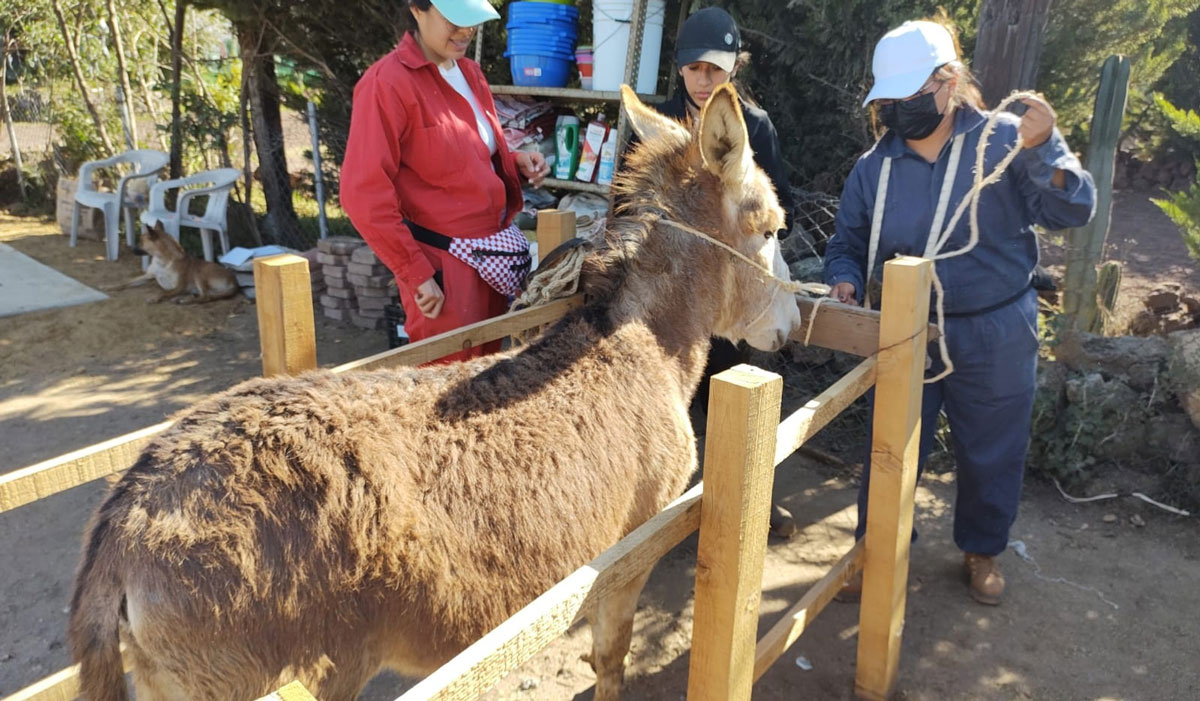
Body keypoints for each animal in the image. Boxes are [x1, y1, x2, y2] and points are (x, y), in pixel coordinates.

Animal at [106, 222, 240, 303]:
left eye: (141, 242)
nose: (130, 248)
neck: (162, 260)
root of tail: (235, 282)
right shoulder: (148, 276)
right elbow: (126, 282)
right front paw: (111, 286)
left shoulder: (179, 286)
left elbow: (164, 291)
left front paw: (155, 297)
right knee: (205, 296)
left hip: (200, 272)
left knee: (205, 297)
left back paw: (184, 300)